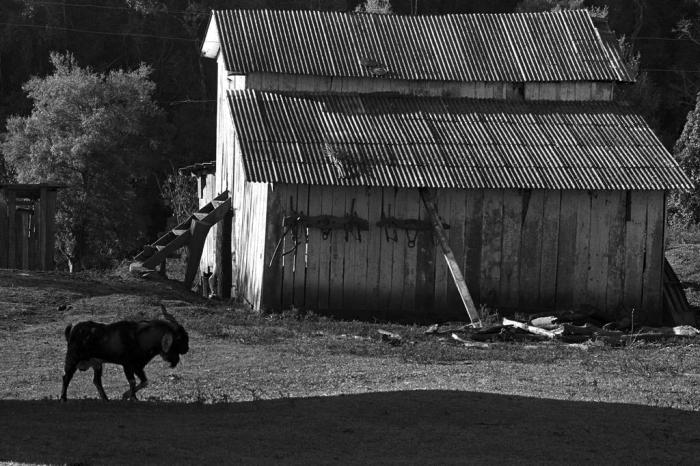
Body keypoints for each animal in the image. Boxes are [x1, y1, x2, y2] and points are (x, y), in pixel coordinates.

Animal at [59, 306, 189, 400]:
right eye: (179, 338)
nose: (186, 349)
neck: (140, 338)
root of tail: (72, 331)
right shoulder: (127, 365)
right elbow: (132, 381)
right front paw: (133, 398)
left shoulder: (138, 366)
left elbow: (144, 382)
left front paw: (126, 395)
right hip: (72, 358)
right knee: (66, 377)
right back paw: (63, 398)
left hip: (97, 364)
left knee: (96, 381)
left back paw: (106, 399)